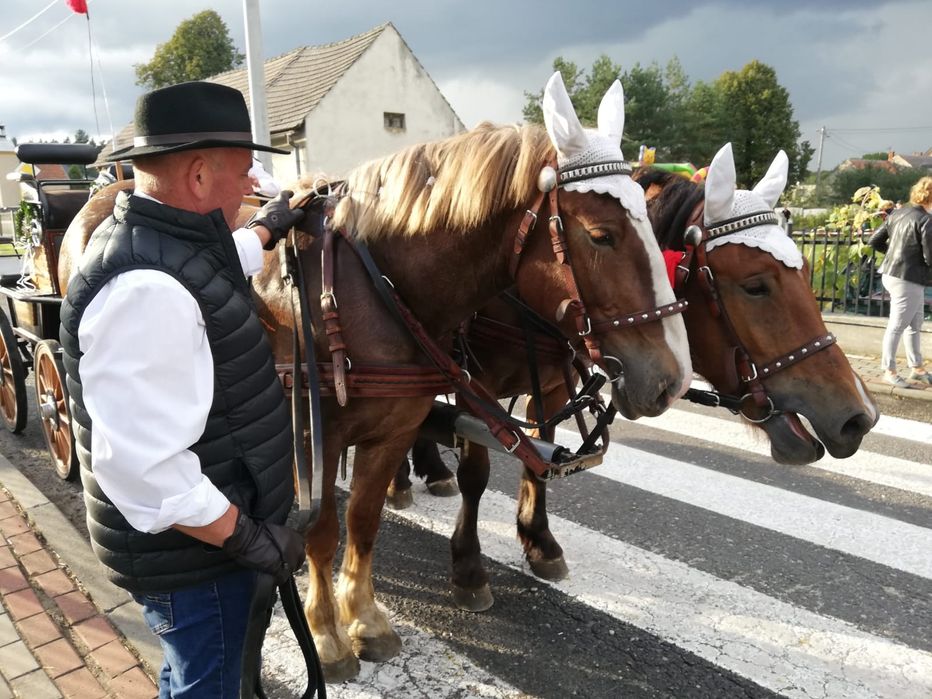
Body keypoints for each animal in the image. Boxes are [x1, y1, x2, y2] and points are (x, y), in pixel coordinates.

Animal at [60, 74, 692, 680]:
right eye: (601, 234)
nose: (673, 381)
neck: (372, 284)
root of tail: (111, 191)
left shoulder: (395, 429)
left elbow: (362, 521)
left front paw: (363, 618)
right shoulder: (313, 436)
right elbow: (321, 531)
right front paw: (325, 634)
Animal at [392, 144, 880, 612]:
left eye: (807, 274)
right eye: (755, 285)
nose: (859, 416)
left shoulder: (551, 389)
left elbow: (538, 461)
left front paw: (541, 542)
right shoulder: (475, 388)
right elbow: (477, 473)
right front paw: (469, 569)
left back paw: (431, 472)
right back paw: (402, 482)